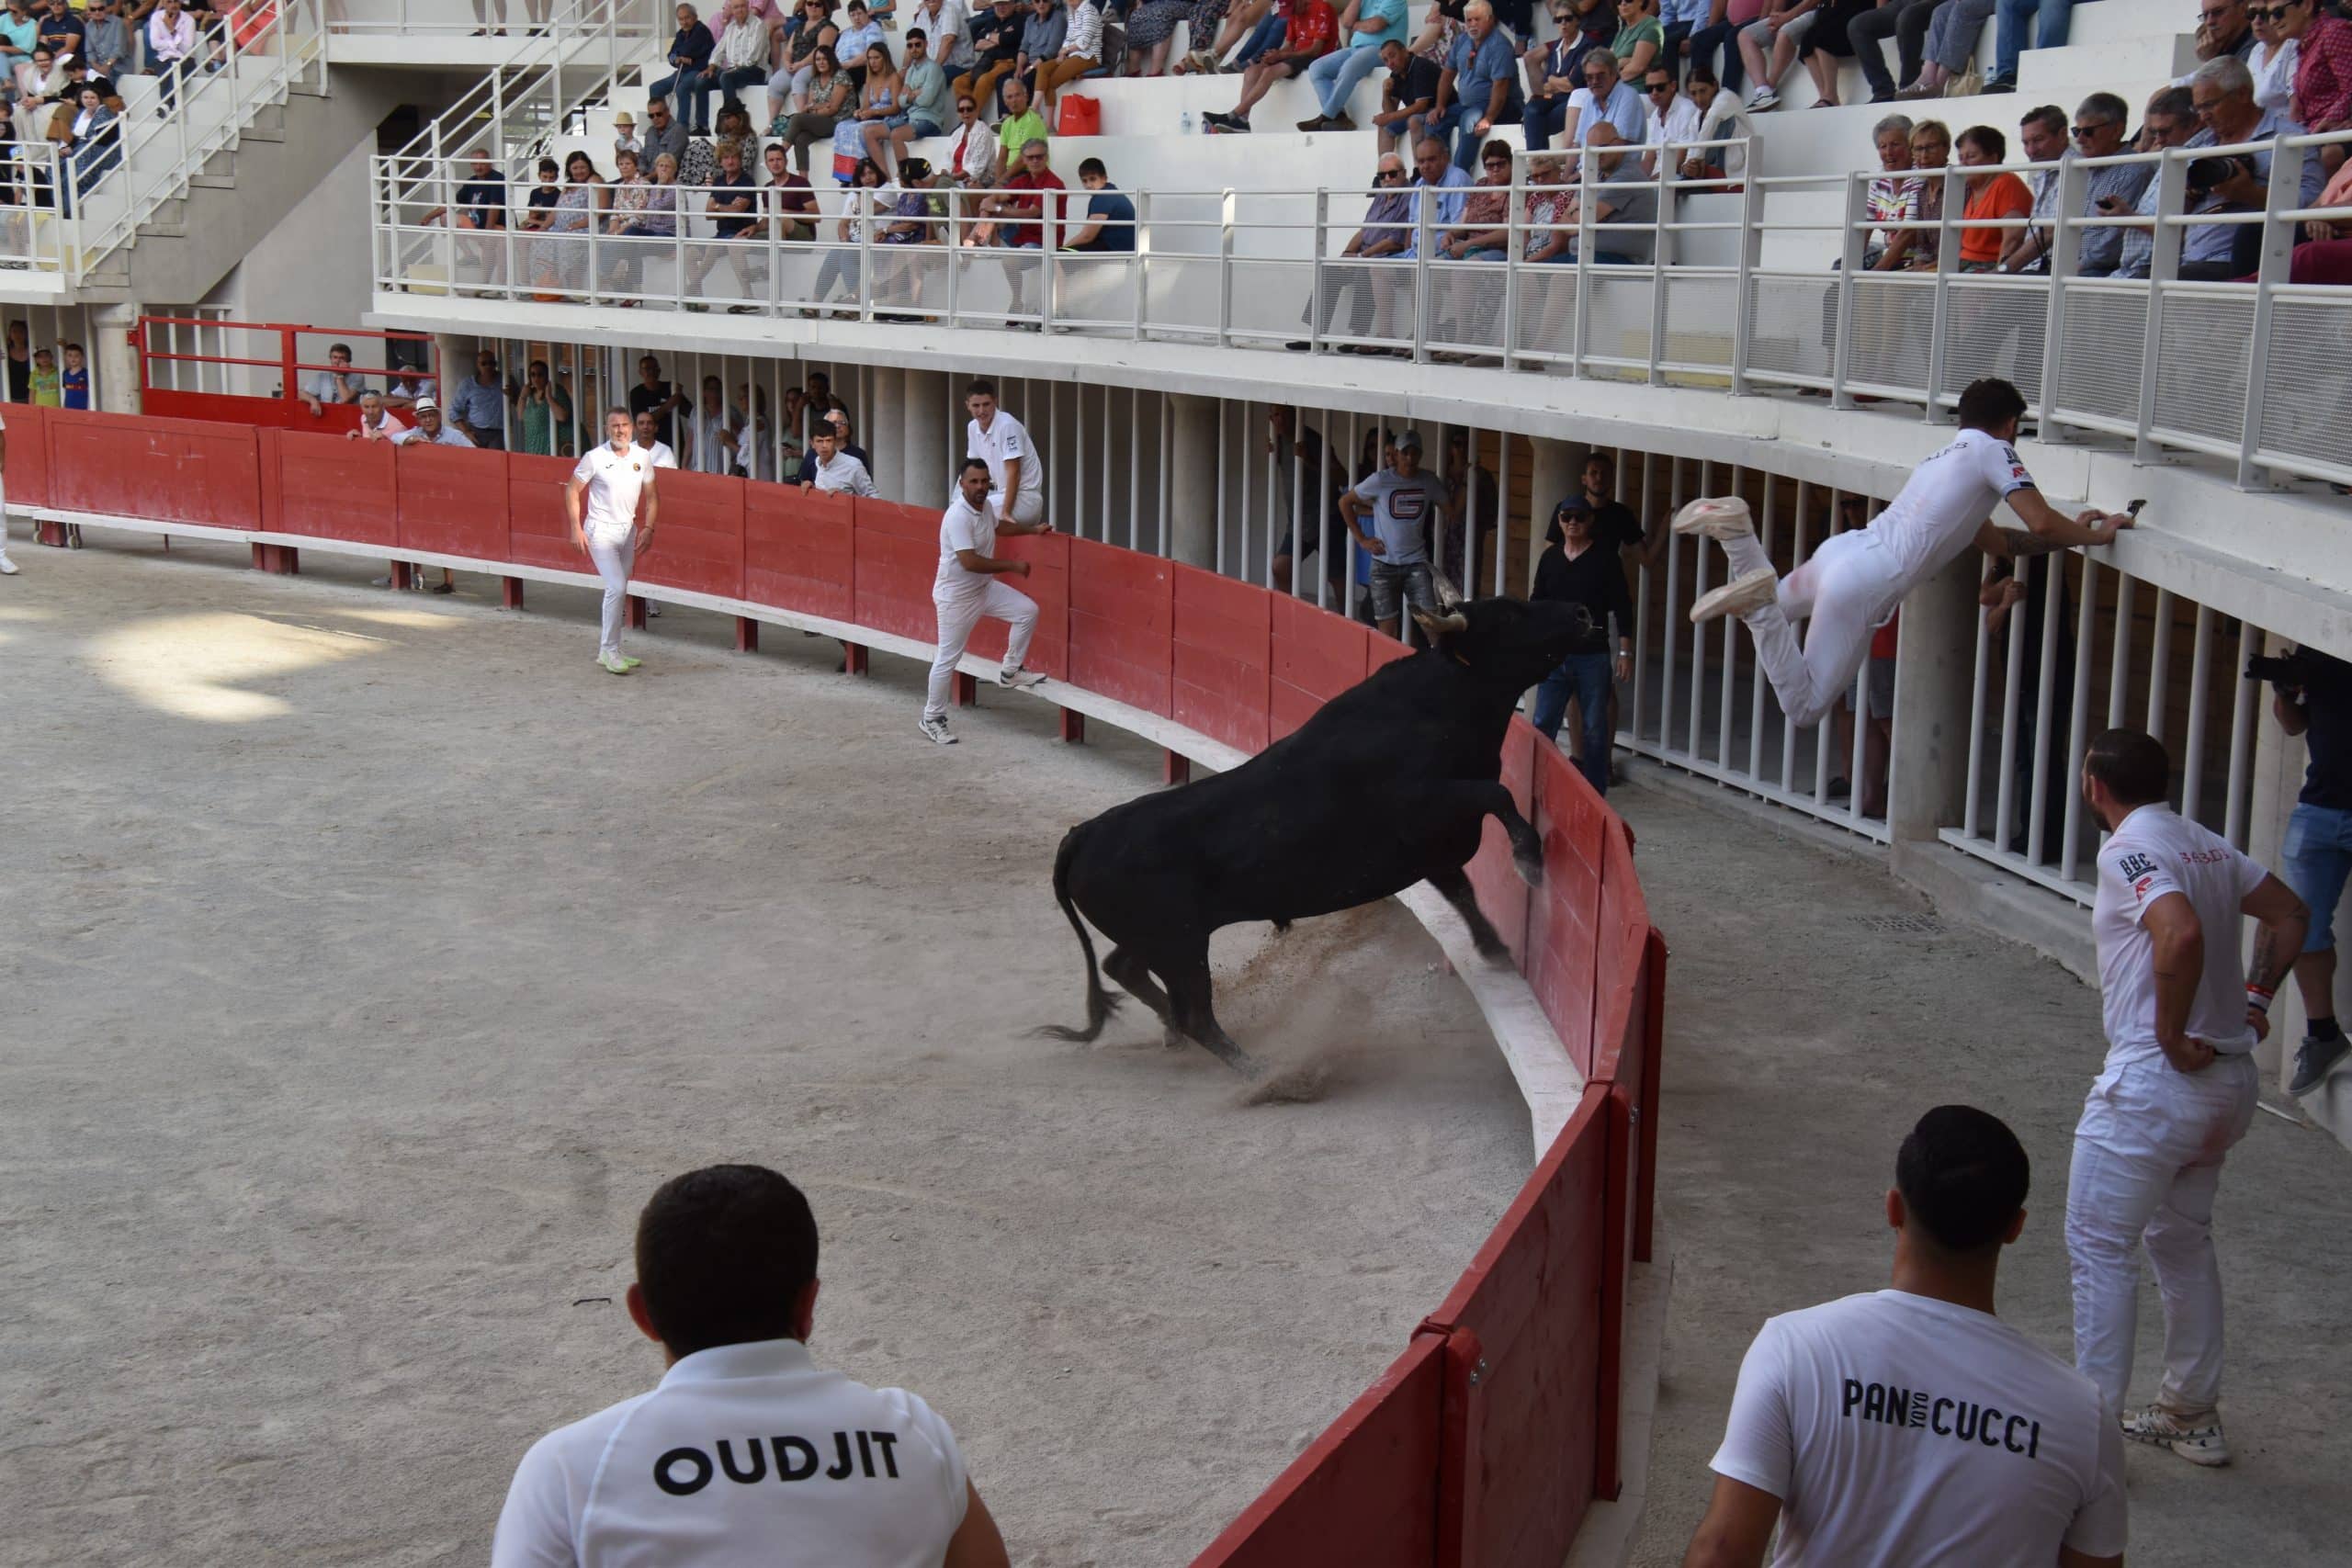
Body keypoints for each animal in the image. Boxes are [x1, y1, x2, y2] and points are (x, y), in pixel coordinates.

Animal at [1039, 594, 1589, 1072]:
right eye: (1509, 616)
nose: (1582, 612)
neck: (1434, 706)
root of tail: (1082, 834)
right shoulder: (1429, 805)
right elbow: (1498, 796)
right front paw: (1529, 861)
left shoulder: (1433, 850)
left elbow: (1463, 891)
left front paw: (1496, 950)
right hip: (1181, 942)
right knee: (1194, 1013)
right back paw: (1258, 1072)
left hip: (1158, 936)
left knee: (1124, 968)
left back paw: (1176, 1034)